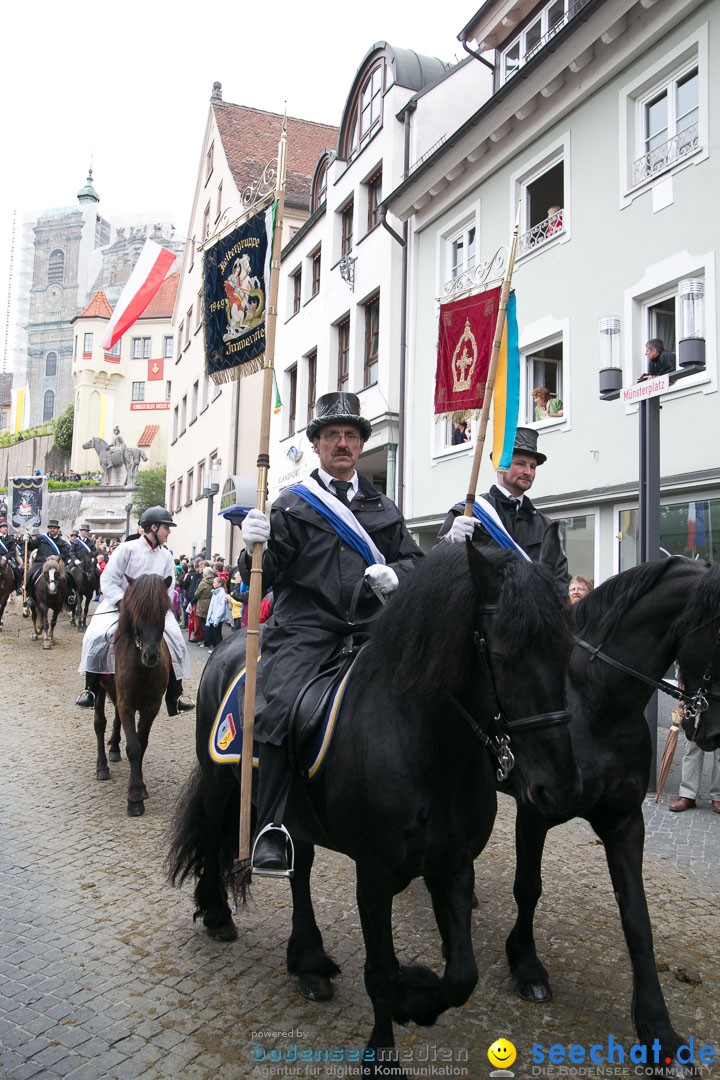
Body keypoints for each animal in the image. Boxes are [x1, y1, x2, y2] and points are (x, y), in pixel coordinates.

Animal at [169, 540, 578, 1071]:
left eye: (568, 651)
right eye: (505, 656)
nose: (558, 789)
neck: (428, 746)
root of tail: (230, 644)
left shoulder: (452, 865)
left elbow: (462, 975)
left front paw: (416, 997)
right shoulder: (375, 875)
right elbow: (380, 970)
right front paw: (384, 1048)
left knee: (298, 871)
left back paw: (309, 962)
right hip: (223, 785)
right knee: (213, 835)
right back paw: (219, 916)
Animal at [505, 557, 720, 1071]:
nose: (714, 733)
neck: (593, 701)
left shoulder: (625, 823)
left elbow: (638, 920)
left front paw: (660, 1032)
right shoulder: (533, 811)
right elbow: (528, 888)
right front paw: (526, 965)